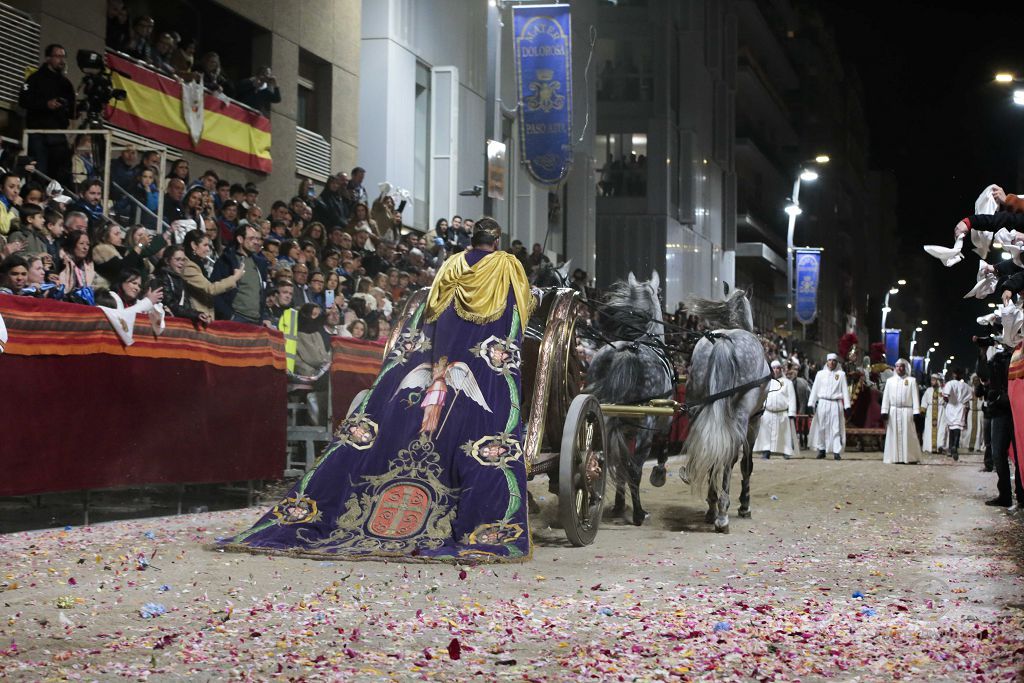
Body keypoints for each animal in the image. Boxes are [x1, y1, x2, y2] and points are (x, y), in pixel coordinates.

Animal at [585, 270, 671, 524]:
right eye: (659, 293)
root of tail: (627, 351)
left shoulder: (623, 429)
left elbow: (620, 462)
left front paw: (619, 503)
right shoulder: (666, 417)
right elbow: (662, 446)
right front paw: (659, 474)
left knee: (608, 459)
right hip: (646, 425)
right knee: (634, 467)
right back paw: (639, 513)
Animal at [679, 288, 770, 532]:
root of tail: (723, 340)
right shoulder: (754, 421)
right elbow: (746, 464)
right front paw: (744, 505)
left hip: (699, 406)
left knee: (711, 447)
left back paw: (712, 507)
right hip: (742, 415)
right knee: (729, 456)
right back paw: (722, 513)